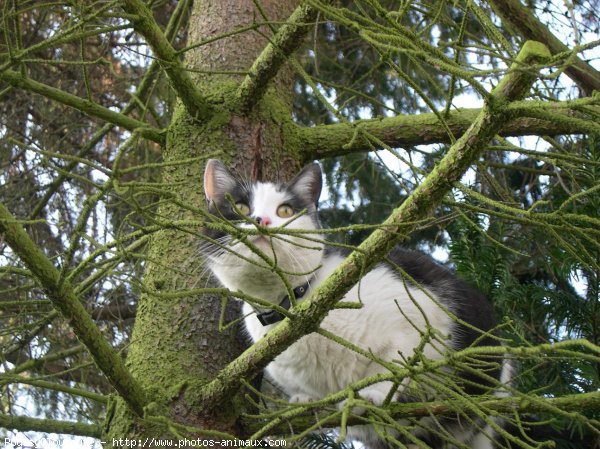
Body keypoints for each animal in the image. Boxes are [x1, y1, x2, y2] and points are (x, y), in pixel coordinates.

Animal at [202, 160, 510, 448]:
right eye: (240, 207)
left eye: (285, 211)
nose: (261, 220)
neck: (289, 307)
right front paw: (304, 400)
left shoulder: (413, 320)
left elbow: (392, 365)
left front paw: (370, 395)